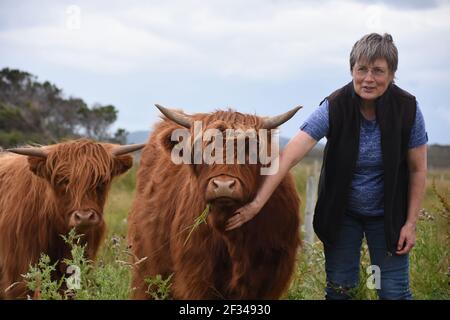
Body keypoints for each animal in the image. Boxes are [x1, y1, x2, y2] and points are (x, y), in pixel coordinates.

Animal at [128, 105, 300, 300]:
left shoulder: (271, 278)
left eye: (250, 148)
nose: (223, 185)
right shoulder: (197, 277)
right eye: (200, 150)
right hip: (147, 269)